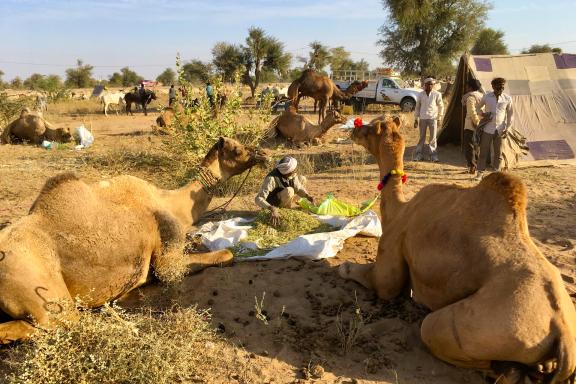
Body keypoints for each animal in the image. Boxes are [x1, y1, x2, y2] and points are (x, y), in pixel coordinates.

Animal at [0, 136, 270, 344]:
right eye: (237, 149)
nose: (264, 153)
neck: (175, 205)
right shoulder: (168, 255)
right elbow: (225, 255)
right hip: (46, 294)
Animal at [340, 118, 576, 384]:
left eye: (370, 128)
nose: (354, 129)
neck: (400, 208)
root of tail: (562, 331)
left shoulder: (393, 248)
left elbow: (373, 280)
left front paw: (345, 267)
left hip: (481, 325)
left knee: (434, 330)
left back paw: (509, 369)